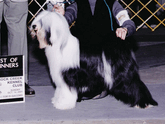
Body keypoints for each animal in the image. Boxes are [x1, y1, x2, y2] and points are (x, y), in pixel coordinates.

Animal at [30, 10, 158, 109]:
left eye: (43, 21)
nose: (33, 26)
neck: (60, 44)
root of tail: (121, 43)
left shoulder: (69, 75)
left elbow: (67, 91)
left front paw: (64, 104)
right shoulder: (61, 77)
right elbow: (61, 90)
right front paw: (57, 100)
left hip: (123, 73)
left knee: (135, 84)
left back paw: (144, 103)